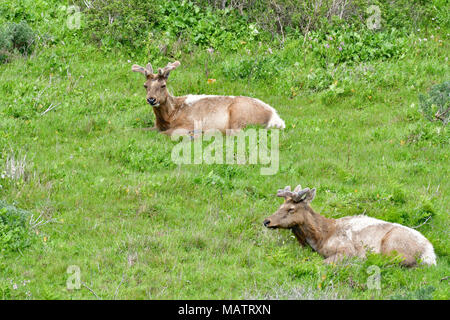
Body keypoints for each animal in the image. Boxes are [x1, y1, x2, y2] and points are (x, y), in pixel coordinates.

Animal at [131, 60, 284, 136]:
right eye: (145, 85)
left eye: (163, 85)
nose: (151, 99)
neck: (170, 116)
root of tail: (275, 116)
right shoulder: (156, 126)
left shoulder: (189, 122)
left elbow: (165, 134)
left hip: (240, 113)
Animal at [264, 185, 436, 268]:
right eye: (280, 206)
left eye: (291, 209)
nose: (267, 221)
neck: (320, 238)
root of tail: (430, 253)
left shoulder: (346, 249)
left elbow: (322, 263)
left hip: (393, 244)